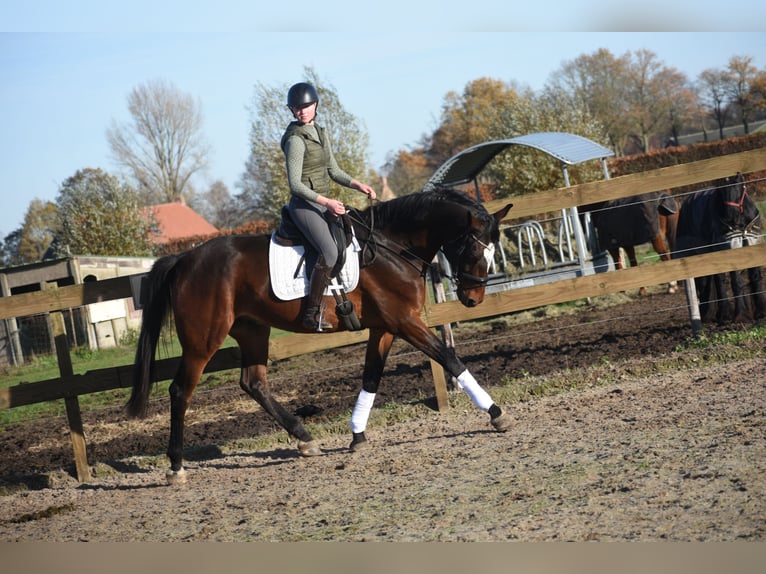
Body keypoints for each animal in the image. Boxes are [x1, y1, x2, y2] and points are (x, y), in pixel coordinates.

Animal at [127, 188, 514, 484]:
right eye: (474, 250)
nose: (473, 299)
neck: (392, 248)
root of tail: (183, 259)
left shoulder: (385, 327)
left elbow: (371, 377)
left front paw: (357, 435)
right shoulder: (405, 322)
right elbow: (450, 359)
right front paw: (496, 413)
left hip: (253, 330)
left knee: (253, 383)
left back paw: (304, 439)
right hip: (203, 340)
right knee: (181, 391)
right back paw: (176, 467)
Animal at [675, 172, 766, 324]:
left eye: (739, 186)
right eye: (721, 189)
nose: (730, 218)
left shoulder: (752, 244)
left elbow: (756, 277)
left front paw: (761, 312)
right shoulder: (730, 249)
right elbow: (735, 282)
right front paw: (740, 315)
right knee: (711, 282)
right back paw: (716, 314)